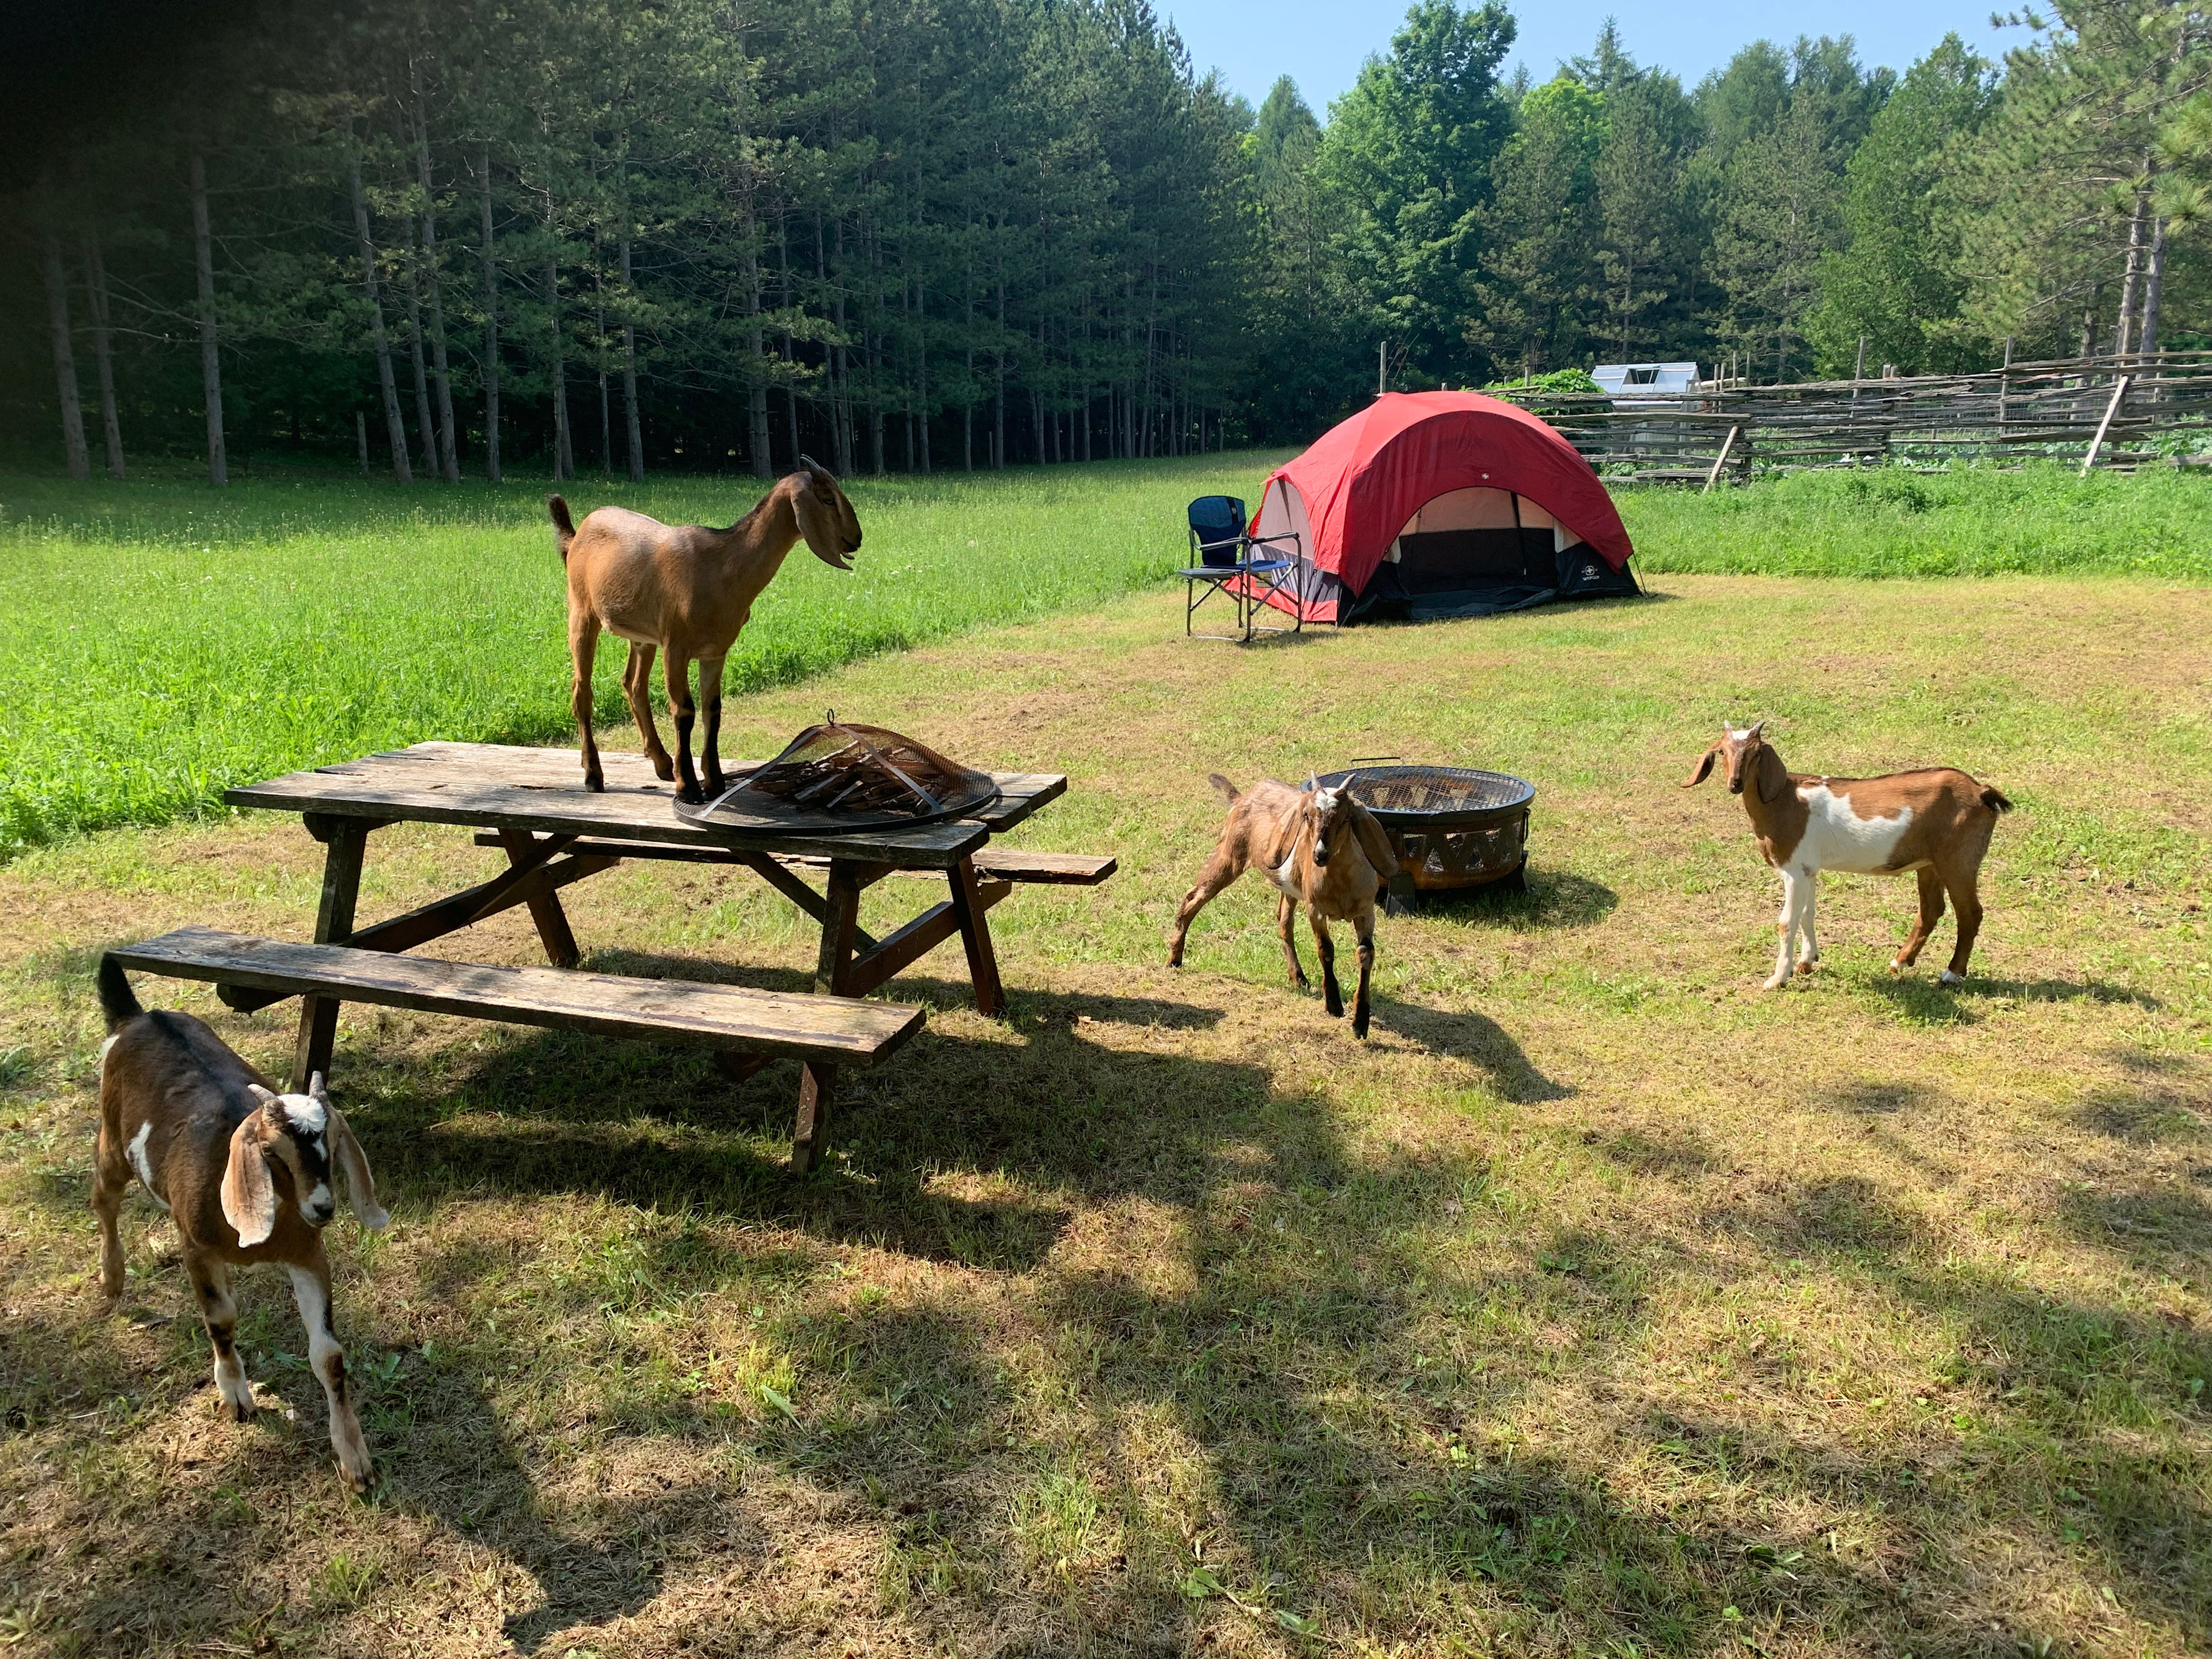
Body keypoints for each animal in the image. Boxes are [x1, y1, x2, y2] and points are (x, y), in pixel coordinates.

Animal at [91, 956, 389, 1493]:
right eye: (271, 1152)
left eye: (335, 1143)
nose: (323, 1209)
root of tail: (140, 1017)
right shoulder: (195, 1246)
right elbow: (220, 1318)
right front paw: (235, 1396)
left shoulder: (308, 1255)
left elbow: (329, 1354)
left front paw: (355, 1461)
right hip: (112, 1143)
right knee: (103, 1200)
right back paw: (112, 1277)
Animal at [551, 456, 863, 801]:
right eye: (827, 498)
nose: (857, 538)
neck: (722, 564)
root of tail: (578, 535)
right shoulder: (676, 646)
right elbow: (684, 711)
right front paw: (687, 785)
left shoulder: (715, 651)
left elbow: (712, 709)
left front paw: (714, 782)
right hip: (582, 612)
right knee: (582, 691)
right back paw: (593, 775)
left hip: (642, 636)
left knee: (633, 684)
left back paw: (662, 762)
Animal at [1168, 774, 1399, 1038]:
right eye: (1307, 815)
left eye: (1345, 818)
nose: (1319, 855)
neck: (1341, 882)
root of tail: (1242, 798)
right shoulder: (1315, 909)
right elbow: (1325, 949)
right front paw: (1333, 1005)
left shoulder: (1366, 912)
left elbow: (1365, 953)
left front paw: (1360, 1022)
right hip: (1230, 855)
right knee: (1193, 897)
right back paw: (1175, 958)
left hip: (1288, 889)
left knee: (1283, 922)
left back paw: (1298, 977)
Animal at [1684, 721, 2013, 991]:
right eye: (1723, 752)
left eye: (1755, 754)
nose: (1736, 784)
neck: (1783, 803)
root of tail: (1982, 792)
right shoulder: (1809, 869)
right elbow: (1808, 914)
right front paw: (1807, 962)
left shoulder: (1794, 870)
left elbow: (1787, 922)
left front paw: (1777, 979)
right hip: (1930, 864)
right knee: (1932, 910)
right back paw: (1899, 962)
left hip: (1959, 860)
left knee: (1970, 913)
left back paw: (1951, 974)